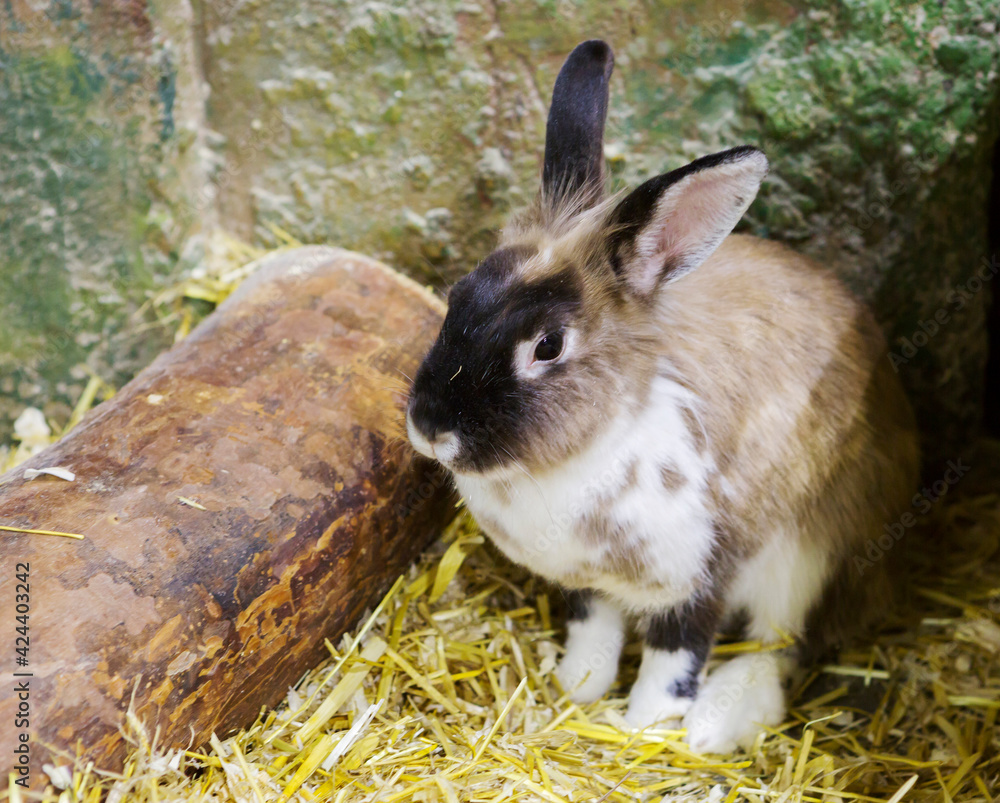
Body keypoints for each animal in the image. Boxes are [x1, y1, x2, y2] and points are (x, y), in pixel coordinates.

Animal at [405, 39, 920, 753]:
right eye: (457, 295)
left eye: (548, 346)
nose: (430, 428)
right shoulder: (588, 584)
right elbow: (594, 630)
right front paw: (577, 688)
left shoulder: (701, 578)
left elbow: (675, 656)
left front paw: (645, 726)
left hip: (809, 562)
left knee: (779, 647)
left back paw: (715, 721)